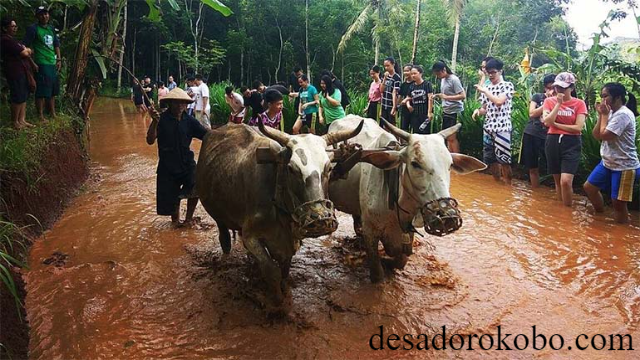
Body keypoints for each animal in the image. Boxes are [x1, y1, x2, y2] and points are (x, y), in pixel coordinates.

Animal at [328, 116, 488, 282]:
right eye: (415, 164)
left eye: (450, 164)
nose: (448, 215)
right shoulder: (370, 232)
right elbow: (377, 274)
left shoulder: (407, 230)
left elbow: (401, 260)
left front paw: (388, 262)